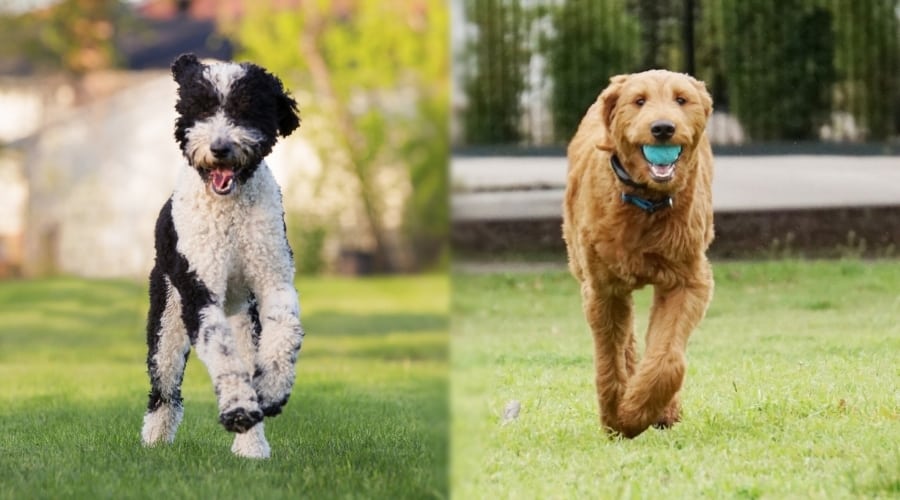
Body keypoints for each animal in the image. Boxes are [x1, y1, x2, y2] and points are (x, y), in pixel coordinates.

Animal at [141, 53, 306, 458]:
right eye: (200, 108)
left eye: (246, 109)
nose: (219, 148)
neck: (229, 211)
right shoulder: (199, 293)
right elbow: (220, 351)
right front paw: (238, 410)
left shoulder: (273, 279)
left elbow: (286, 327)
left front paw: (272, 390)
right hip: (167, 323)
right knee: (164, 390)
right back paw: (155, 441)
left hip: (244, 319)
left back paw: (252, 446)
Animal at [568, 69, 712, 438]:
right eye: (639, 101)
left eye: (681, 99)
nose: (663, 128)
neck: (645, 203)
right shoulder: (602, 289)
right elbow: (610, 355)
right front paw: (616, 417)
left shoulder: (687, 280)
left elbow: (667, 359)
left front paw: (638, 410)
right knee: (627, 341)